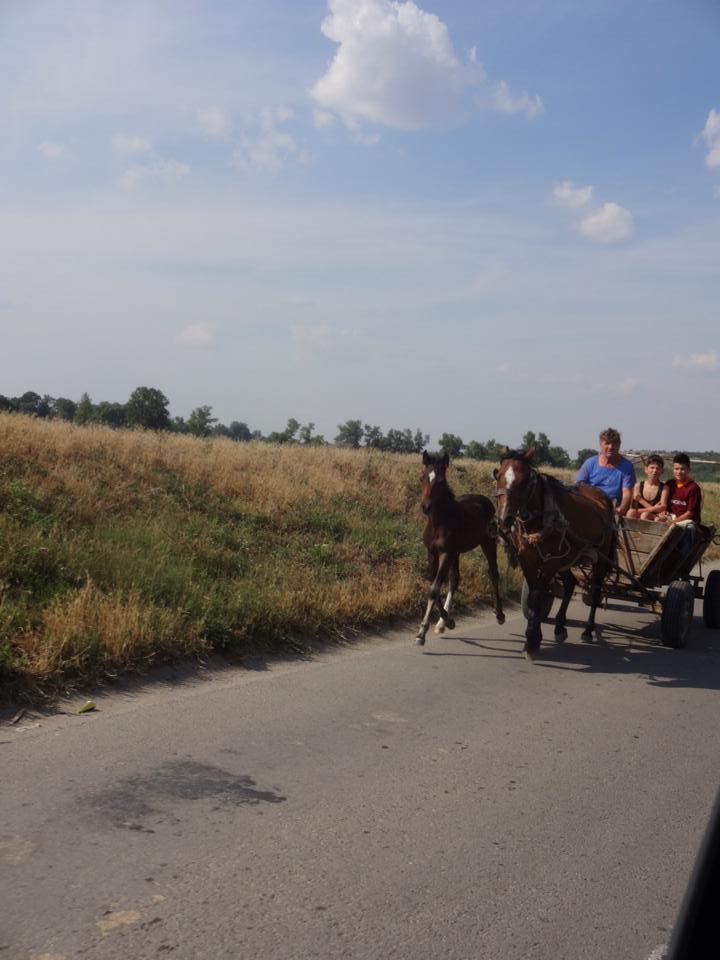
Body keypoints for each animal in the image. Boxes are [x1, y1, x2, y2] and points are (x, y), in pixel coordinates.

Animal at [416, 451, 505, 645]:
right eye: (422, 478)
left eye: (441, 481)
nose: (426, 507)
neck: (439, 522)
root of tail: (484, 499)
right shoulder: (432, 553)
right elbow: (434, 587)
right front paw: (447, 621)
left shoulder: (446, 553)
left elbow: (434, 589)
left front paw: (421, 632)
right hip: (457, 552)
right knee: (455, 579)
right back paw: (442, 624)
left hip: (487, 544)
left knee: (493, 574)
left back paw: (500, 614)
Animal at [494, 448, 617, 660]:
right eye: (499, 475)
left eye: (525, 480)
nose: (504, 518)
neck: (541, 519)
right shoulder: (527, 559)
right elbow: (534, 596)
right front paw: (532, 638)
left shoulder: (551, 562)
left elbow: (536, 596)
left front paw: (532, 642)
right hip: (567, 559)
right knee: (569, 584)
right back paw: (560, 627)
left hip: (598, 560)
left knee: (595, 592)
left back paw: (588, 630)